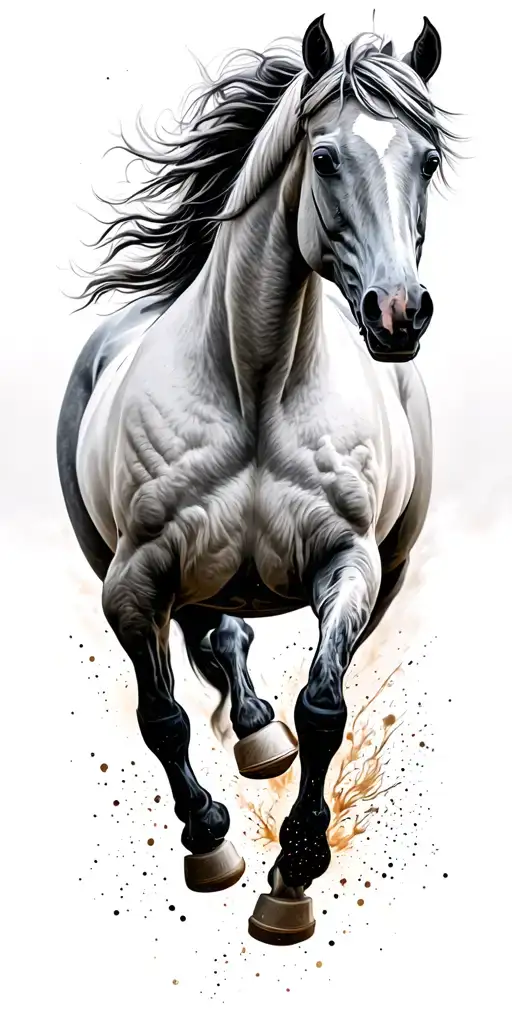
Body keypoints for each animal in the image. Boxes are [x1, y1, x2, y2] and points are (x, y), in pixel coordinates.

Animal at [57, 14, 460, 944]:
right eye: (326, 157)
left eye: (427, 158)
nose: (399, 313)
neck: (257, 383)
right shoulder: (132, 582)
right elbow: (163, 716)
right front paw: (212, 845)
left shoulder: (350, 565)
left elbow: (324, 708)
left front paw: (294, 877)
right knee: (218, 642)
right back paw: (250, 739)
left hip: (389, 568)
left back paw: (262, 740)